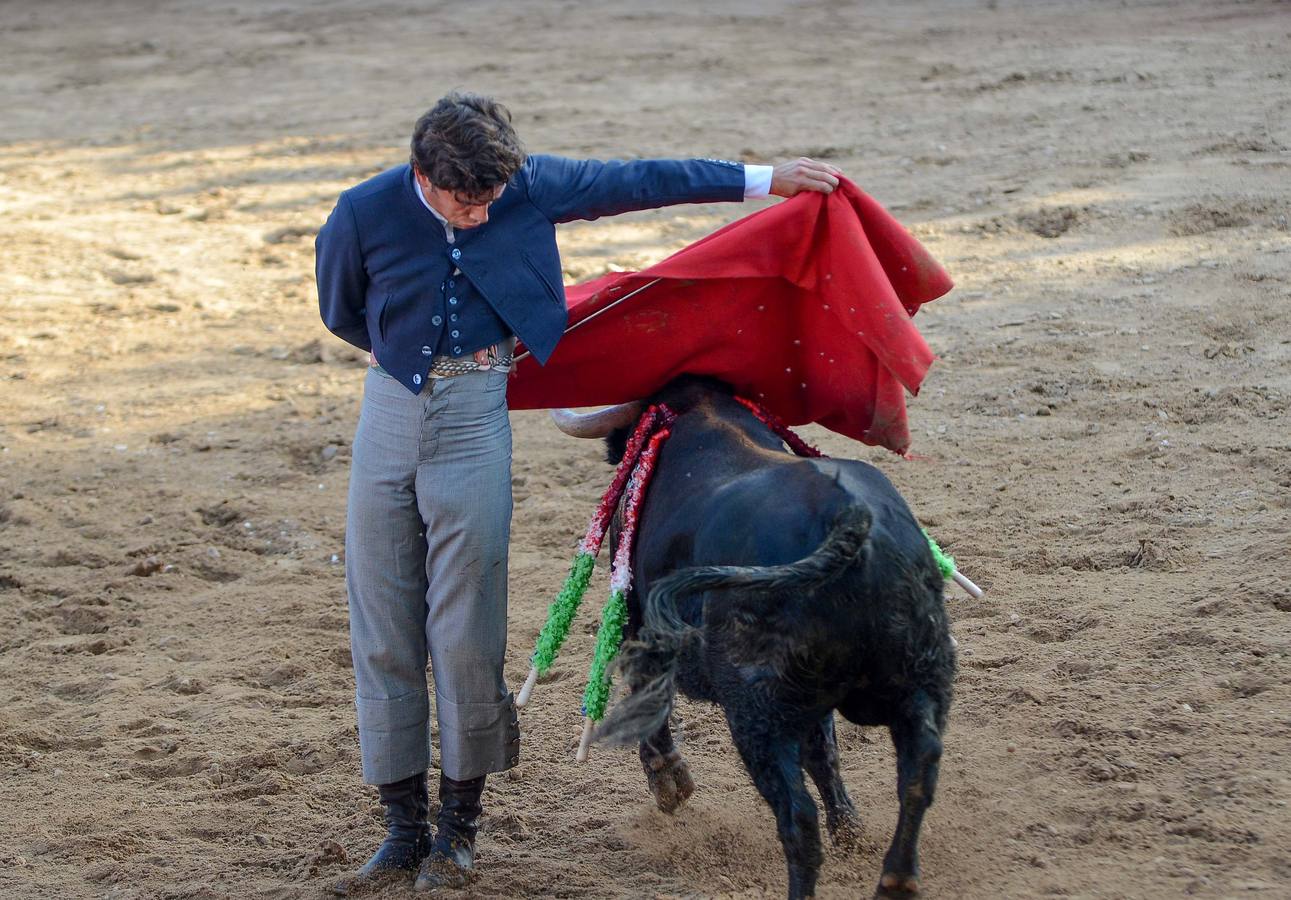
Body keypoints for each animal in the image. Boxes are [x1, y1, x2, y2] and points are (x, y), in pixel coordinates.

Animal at [580, 379, 955, 898]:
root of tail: (846, 521)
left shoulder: (640, 622)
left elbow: (647, 694)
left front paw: (669, 783)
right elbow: (825, 752)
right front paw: (851, 833)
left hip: (757, 714)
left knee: (797, 818)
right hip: (922, 676)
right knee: (918, 771)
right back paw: (895, 880)